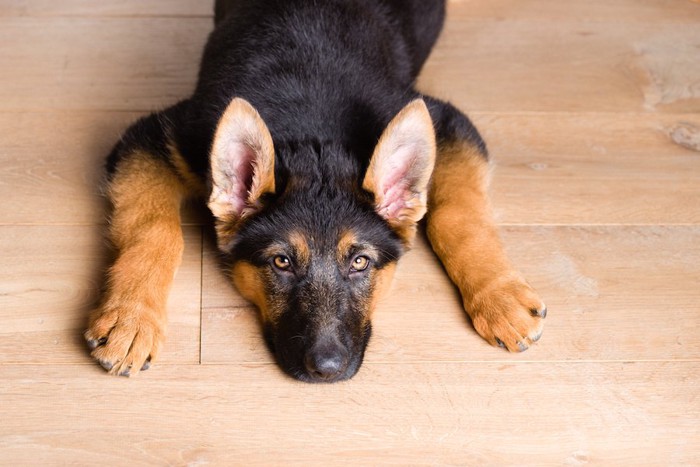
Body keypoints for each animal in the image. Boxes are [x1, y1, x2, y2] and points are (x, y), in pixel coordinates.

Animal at [86, 0, 548, 384]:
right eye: (282, 262)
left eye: (361, 262)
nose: (327, 369)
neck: (311, 128)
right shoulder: (159, 137)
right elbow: (154, 228)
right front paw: (131, 318)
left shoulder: (448, 122)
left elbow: (458, 216)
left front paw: (499, 297)